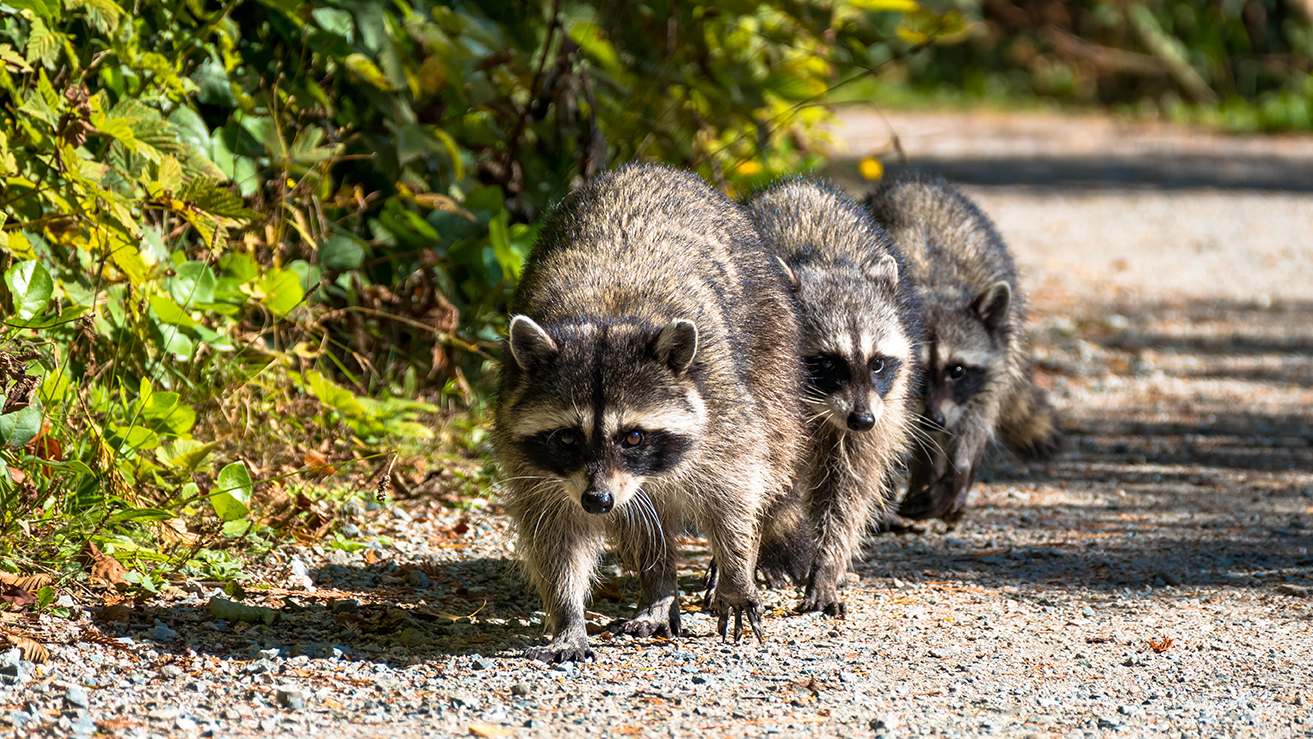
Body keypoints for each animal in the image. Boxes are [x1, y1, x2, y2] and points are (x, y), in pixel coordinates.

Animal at [492, 164, 806, 662]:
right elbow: (556, 535)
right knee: (644, 523)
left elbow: (736, 491)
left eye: (634, 437)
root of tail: (651, 168)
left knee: (767, 461)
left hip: (772, 354)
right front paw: (568, 615)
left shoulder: (723, 408)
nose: (597, 501)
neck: (604, 315)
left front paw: (738, 571)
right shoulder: (528, 454)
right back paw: (658, 591)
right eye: (566, 437)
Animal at [745, 179, 922, 617]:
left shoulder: (883, 408)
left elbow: (848, 489)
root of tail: (798, 185)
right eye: (827, 362)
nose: (861, 420)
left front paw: (826, 567)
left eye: (878, 364)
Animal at [864, 174, 1061, 524]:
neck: (934, 290)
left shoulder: (993, 364)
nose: (935, 419)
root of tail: (915, 181)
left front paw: (959, 474)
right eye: (918, 373)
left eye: (957, 370)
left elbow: (977, 419)